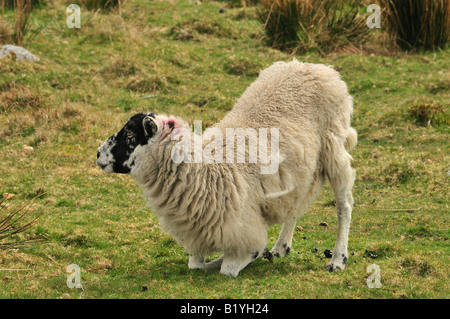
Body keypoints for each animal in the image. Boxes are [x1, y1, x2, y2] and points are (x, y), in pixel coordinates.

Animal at [96, 59, 356, 278]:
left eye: (130, 135)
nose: (97, 153)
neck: (206, 171)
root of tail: (316, 67)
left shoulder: (242, 228)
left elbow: (229, 268)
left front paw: (255, 255)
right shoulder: (201, 233)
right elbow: (196, 265)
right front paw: (261, 254)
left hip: (334, 147)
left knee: (344, 205)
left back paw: (337, 259)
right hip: (299, 169)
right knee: (294, 204)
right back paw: (281, 247)